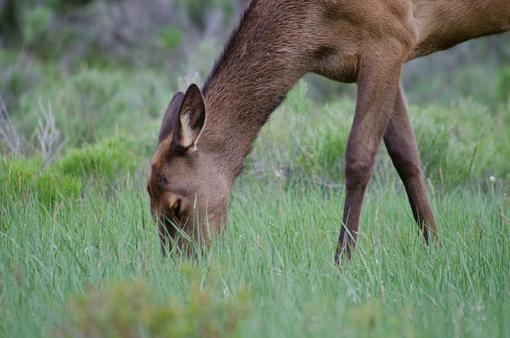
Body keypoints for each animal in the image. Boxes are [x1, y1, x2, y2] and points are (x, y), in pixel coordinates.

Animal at [147, 0, 510, 262]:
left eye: (176, 206)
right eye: (149, 204)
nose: (180, 266)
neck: (313, 39)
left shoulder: (390, 38)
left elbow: (358, 158)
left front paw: (342, 261)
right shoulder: (392, 54)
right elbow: (406, 156)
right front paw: (435, 246)